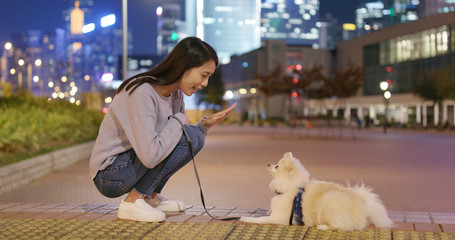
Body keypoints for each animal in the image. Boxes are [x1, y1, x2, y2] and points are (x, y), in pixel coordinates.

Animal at [242, 152, 396, 231]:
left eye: (277, 166)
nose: (268, 163)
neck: (290, 188)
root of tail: (364, 209)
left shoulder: (280, 218)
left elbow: (260, 219)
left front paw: (245, 218)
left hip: (327, 203)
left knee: (338, 226)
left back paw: (321, 226)